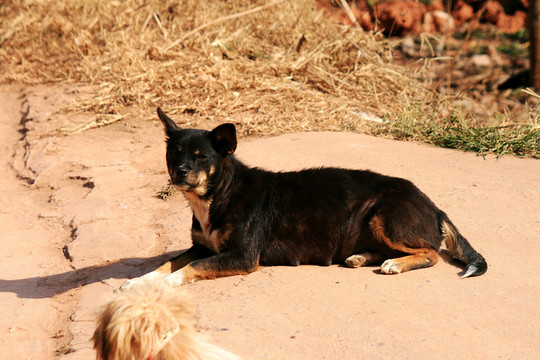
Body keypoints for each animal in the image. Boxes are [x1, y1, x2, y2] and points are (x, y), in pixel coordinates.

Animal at [121, 107, 486, 290]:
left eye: (200, 157)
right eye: (174, 154)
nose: (180, 173)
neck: (220, 193)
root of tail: (434, 207)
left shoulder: (242, 257)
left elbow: (189, 267)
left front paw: (162, 286)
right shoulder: (201, 246)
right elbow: (166, 263)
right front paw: (139, 281)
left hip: (385, 218)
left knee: (430, 252)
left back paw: (395, 264)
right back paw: (360, 257)